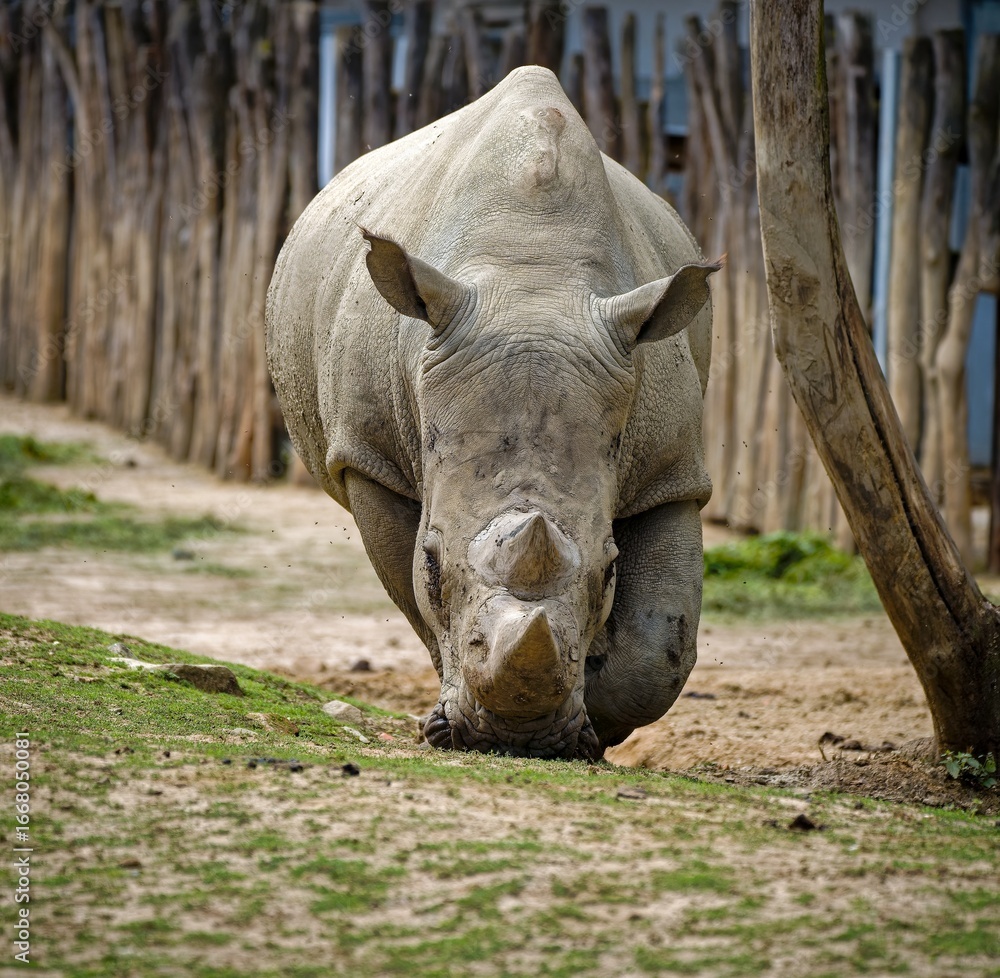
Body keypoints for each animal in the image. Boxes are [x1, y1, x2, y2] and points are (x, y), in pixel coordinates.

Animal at [266, 66, 719, 761]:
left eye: (611, 570)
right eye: (431, 562)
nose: (516, 739)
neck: (533, 275)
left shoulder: (672, 470)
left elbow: (660, 647)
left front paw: (594, 725)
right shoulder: (368, 456)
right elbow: (411, 591)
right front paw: (445, 724)